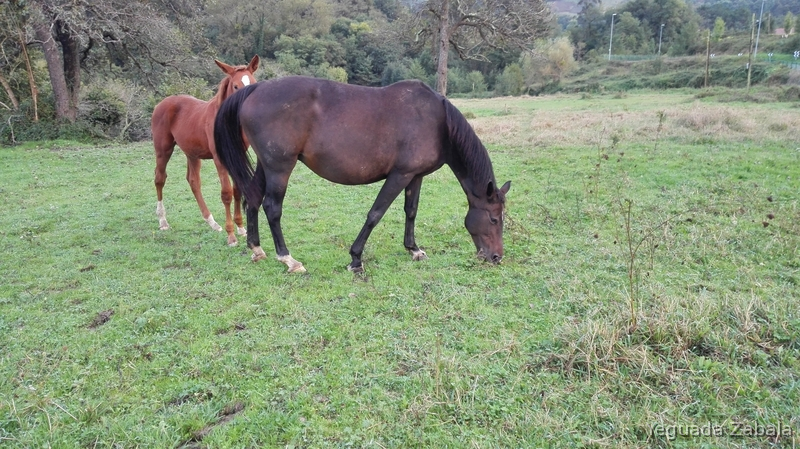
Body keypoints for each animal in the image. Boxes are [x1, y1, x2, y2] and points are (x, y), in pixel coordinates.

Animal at [151, 55, 260, 246]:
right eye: (235, 86)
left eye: (253, 83)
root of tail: (160, 104)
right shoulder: (219, 159)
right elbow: (226, 193)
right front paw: (231, 236)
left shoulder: (236, 156)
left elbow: (237, 190)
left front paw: (241, 228)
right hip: (163, 150)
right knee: (159, 179)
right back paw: (163, 221)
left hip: (192, 154)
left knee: (193, 181)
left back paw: (212, 222)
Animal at [214, 76, 510, 273]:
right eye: (494, 219)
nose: (496, 257)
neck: (437, 122)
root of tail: (257, 88)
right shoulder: (399, 175)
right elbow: (375, 214)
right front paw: (356, 258)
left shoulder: (415, 176)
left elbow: (411, 211)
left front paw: (414, 249)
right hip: (280, 168)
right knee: (272, 208)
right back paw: (288, 259)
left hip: (267, 166)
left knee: (252, 199)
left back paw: (256, 249)